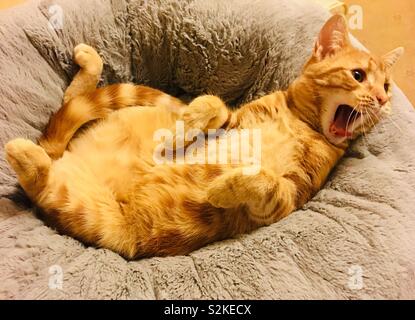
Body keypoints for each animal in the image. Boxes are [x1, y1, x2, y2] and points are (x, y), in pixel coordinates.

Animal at [4, 16, 404, 258]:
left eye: (385, 86)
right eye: (357, 75)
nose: (384, 100)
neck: (299, 123)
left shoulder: (289, 196)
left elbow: (266, 180)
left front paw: (222, 188)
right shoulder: (232, 119)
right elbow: (212, 105)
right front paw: (181, 131)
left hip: (97, 218)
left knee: (43, 175)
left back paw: (22, 150)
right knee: (71, 102)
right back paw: (89, 64)